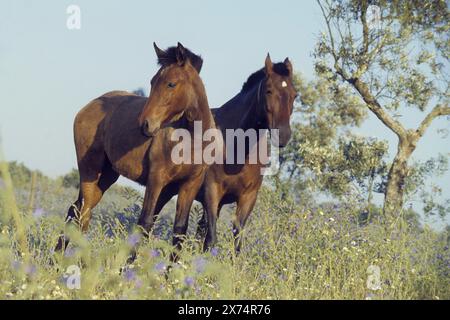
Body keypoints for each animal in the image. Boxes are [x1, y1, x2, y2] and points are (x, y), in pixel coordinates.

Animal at [55, 42, 215, 252]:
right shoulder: (156, 180)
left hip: (106, 176)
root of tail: (88, 106)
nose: (145, 124)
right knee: (83, 214)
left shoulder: (190, 185)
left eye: (171, 83)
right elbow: (144, 223)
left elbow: (179, 230)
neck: (191, 141)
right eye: (152, 81)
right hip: (90, 171)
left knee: (75, 211)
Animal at [198, 54, 298, 252]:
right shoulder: (211, 193)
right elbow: (211, 240)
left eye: (294, 94)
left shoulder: (248, 198)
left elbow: (237, 242)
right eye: (268, 90)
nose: (283, 135)